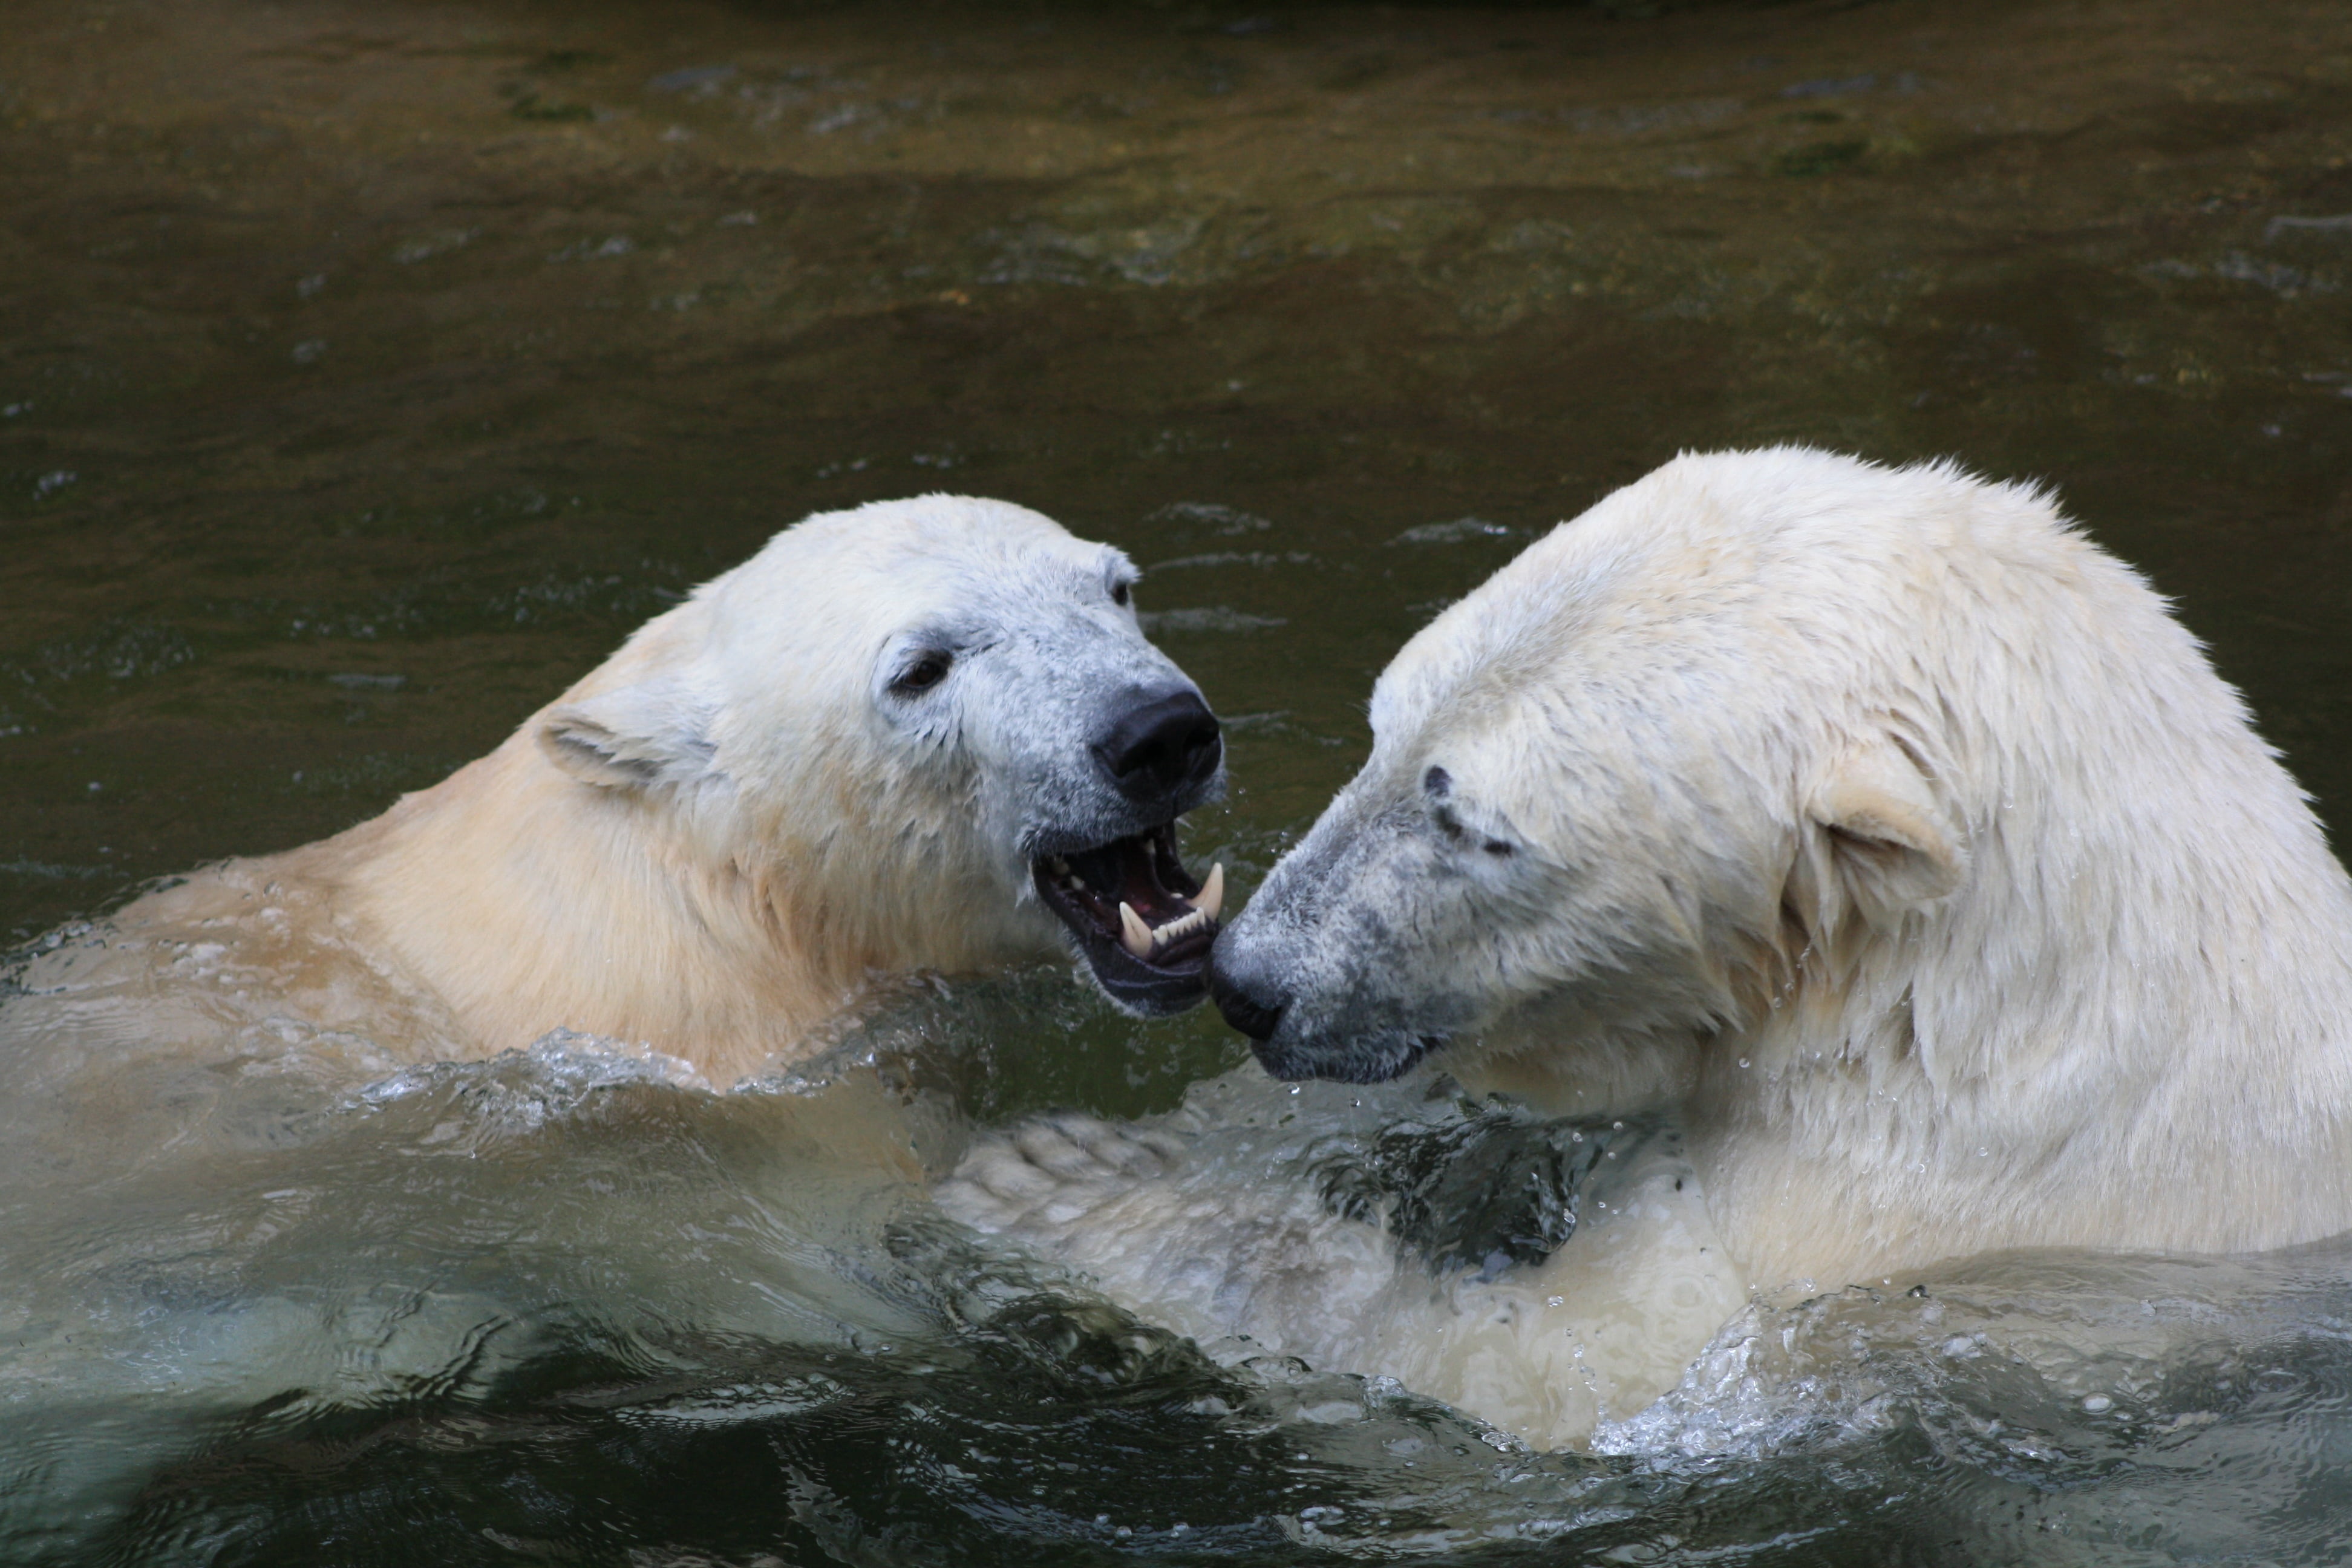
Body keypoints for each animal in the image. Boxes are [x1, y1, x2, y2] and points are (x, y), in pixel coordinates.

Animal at [942, 446, 2352, 1448]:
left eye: (1481, 828)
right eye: (1382, 728)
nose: (1248, 986)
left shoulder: (1866, 1236)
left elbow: (1537, 1377)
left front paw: (1064, 1184)